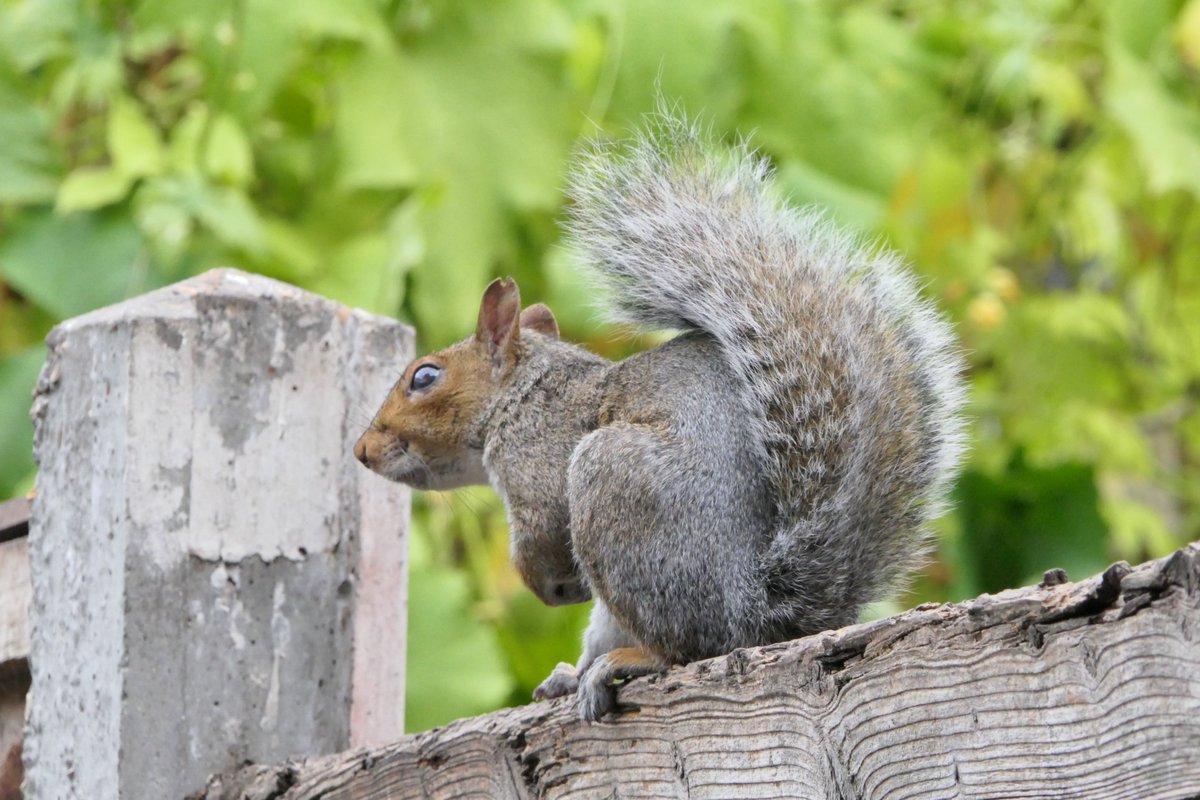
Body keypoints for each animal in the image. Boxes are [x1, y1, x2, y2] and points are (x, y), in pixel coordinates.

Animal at [354, 115, 966, 721]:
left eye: (424, 377)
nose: (362, 450)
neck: (521, 395)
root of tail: (756, 613)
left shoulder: (539, 459)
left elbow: (543, 529)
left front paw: (544, 581)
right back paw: (573, 674)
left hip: (612, 484)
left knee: (686, 648)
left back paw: (629, 660)